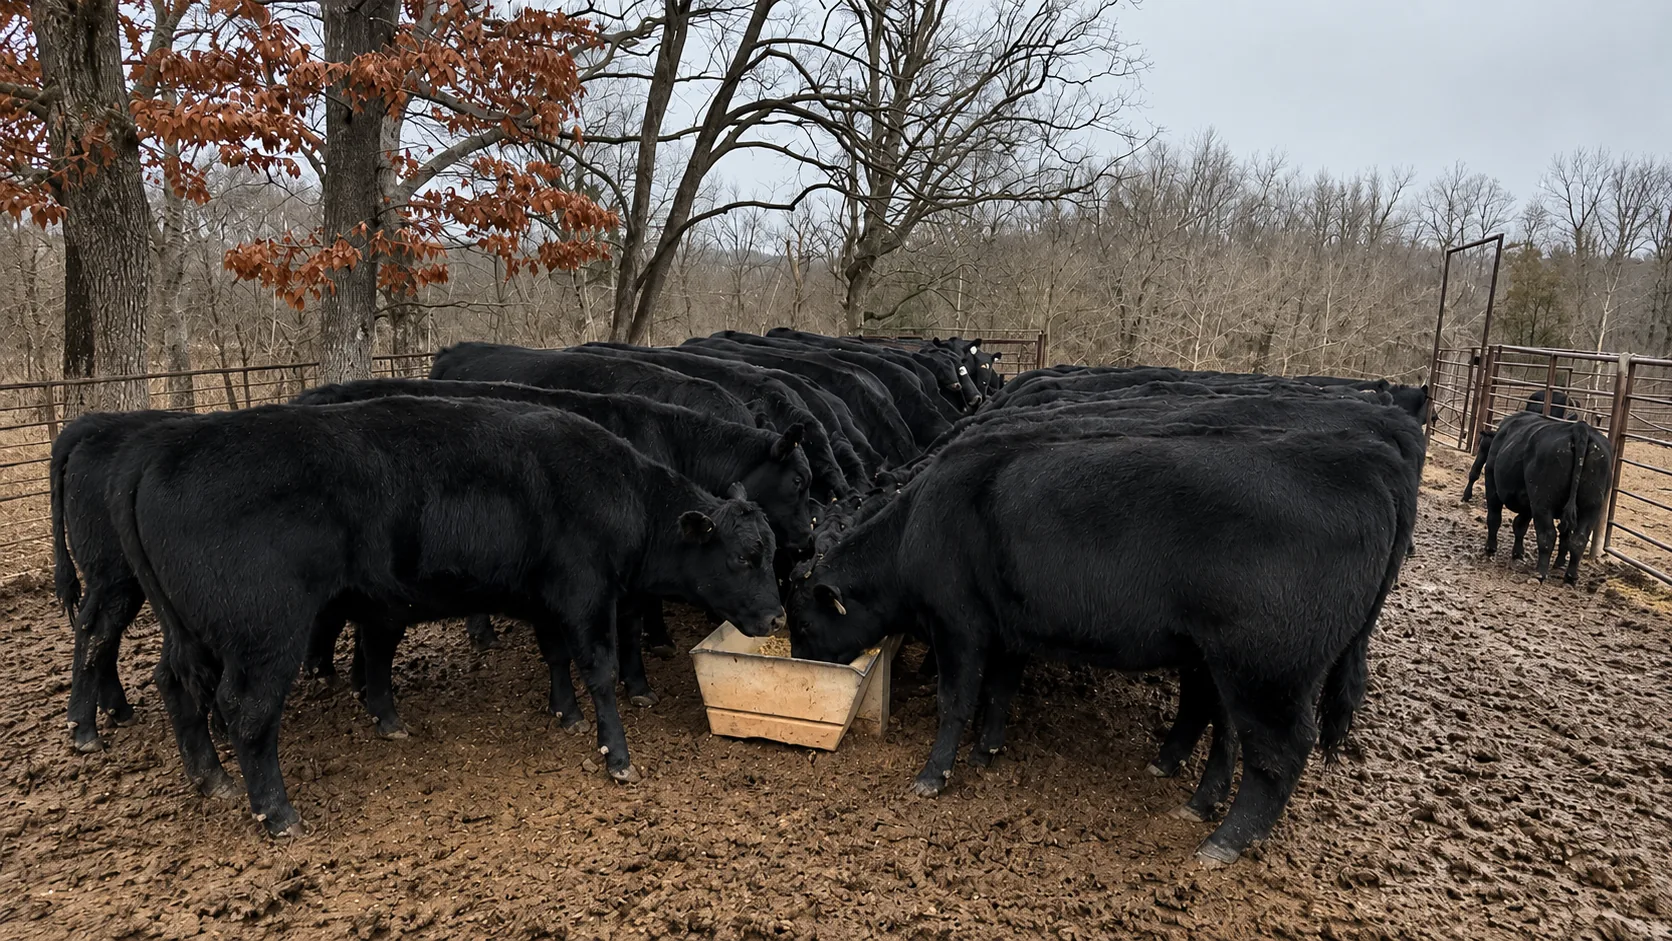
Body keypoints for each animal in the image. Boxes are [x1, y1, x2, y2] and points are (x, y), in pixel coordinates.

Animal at [106, 396, 784, 836]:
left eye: (769, 549)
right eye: (746, 556)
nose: (778, 618)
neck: (624, 495)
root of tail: (163, 450)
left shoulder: (544, 598)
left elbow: (556, 657)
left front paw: (563, 713)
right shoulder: (586, 596)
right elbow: (599, 671)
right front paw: (615, 754)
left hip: (189, 632)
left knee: (177, 685)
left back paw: (209, 777)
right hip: (264, 634)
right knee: (245, 711)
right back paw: (277, 813)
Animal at [784, 420, 1417, 864]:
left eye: (805, 625)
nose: (799, 667)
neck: (920, 521)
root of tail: (1364, 457)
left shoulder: (959, 625)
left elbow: (956, 701)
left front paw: (933, 775)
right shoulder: (1010, 628)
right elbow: (1000, 691)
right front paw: (989, 749)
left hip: (1269, 669)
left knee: (1279, 752)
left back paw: (1225, 841)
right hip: (1225, 661)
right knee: (1230, 730)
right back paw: (1196, 801)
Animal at [1482, 410, 1612, 584]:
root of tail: (1579, 428)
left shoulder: (1493, 485)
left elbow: (1495, 518)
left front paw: (1491, 548)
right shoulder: (1528, 503)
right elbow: (1520, 525)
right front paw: (1519, 553)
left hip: (1543, 500)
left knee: (1548, 535)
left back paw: (1540, 572)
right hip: (1592, 505)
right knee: (1578, 538)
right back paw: (1570, 576)